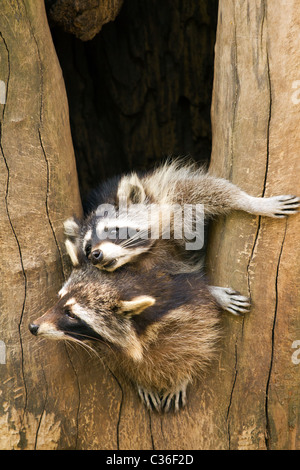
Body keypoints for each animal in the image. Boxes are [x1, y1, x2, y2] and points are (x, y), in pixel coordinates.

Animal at [29, 262, 221, 414]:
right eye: (60, 299)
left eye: (71, 314)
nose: (33, 327)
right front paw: (140, 377)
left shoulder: (191, 303)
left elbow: (199, 338)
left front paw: (183, 374)